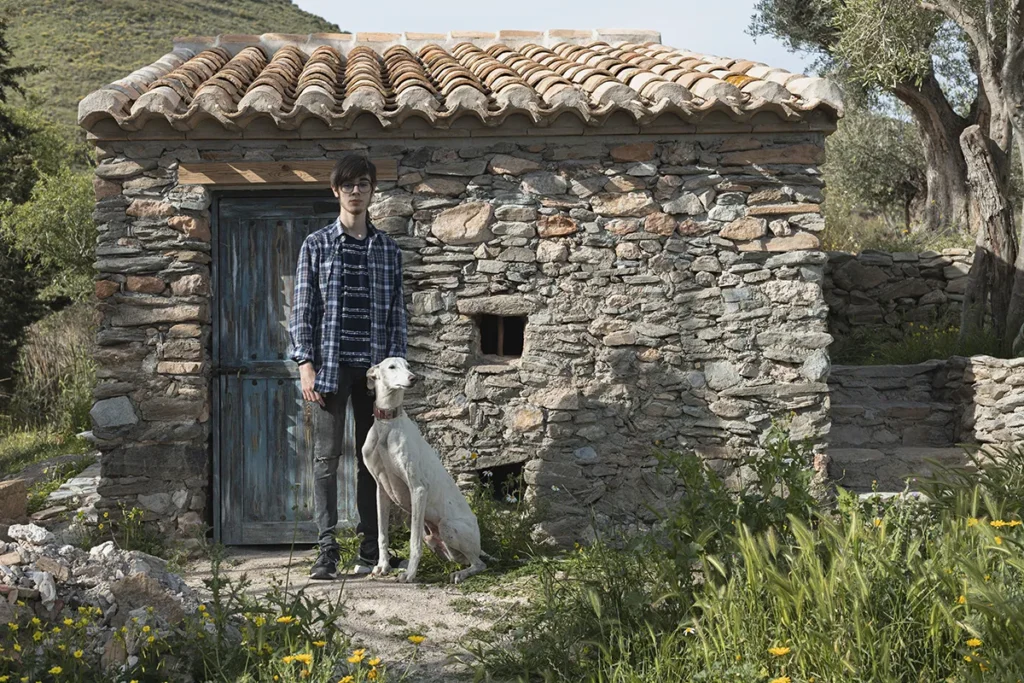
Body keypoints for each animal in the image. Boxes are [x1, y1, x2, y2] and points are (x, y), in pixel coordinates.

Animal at [361, 357, 487, 584]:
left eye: (409, 366)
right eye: (391, 367)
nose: (414, 378)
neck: (388, 423)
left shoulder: (418, 489)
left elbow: (413, 541)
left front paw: (410, 574)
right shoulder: (381, 490)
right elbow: (382, 534)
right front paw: (382, 566)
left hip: (448, 527)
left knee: (479, 564)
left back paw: (460, 574)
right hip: (434, 540)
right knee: (460, 559)